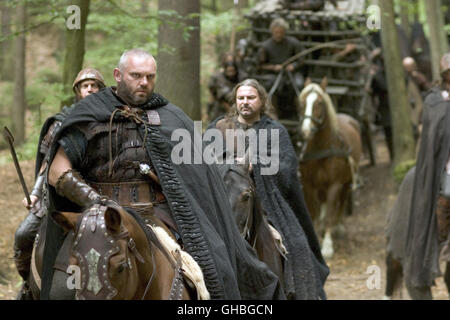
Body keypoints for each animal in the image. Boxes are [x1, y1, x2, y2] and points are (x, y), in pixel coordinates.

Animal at [298, 78, 362, 260]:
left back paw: (338, 226)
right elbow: (313, 213)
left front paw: (327, 246)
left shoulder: (335, 184)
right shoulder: (309, 185)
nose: (306, 130)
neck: (322, 148)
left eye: (319, 103)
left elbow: (330, 215)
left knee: (341, 201)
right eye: (302, 102)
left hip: (346, 181)